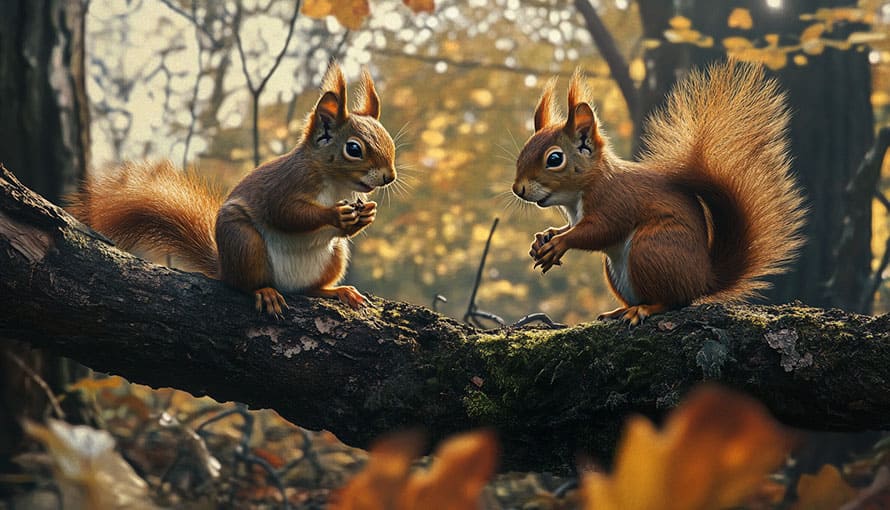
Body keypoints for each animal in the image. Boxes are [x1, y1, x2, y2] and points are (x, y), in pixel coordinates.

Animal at [69, 62, 396, 315]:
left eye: (389, 141)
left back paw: (337, 291)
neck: (336, 185)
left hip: (335, 255)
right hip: (244, 242)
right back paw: (265, 292)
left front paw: (367, 215)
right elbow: (287, 214)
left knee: (310, 289)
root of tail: (223, 268)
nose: (389, 177)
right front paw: (335, 215)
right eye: (353, 149)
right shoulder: (286, 185)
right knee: (244, 285)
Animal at [512, 61, 806, 325]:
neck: (577, 196)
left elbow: (599, 231)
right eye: (524, 150)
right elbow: (570, 227)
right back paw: (620, 311)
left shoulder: (615, 200)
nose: (518, 189)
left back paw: (643, 310)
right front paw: (545, 237)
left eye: (554, 159)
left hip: (650, 248)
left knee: (674, 301)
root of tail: (703, 280)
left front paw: (559, 244)